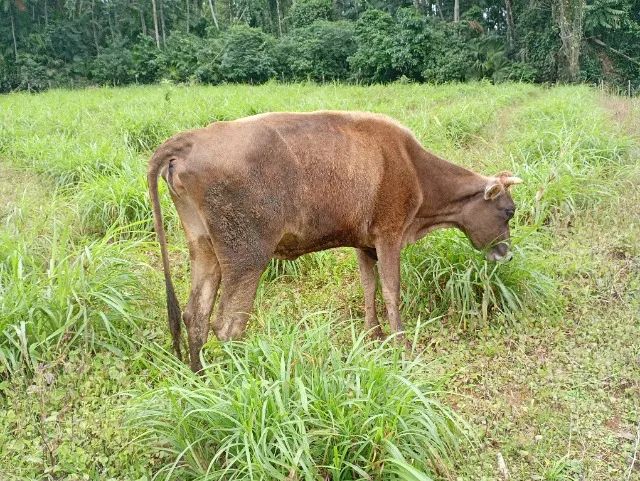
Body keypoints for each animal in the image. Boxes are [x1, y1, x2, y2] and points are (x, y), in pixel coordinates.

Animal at [148, 111, 522, 371]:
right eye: (508, 211)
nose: (506, 254)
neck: (414, 169)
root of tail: (190, 140)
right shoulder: (389, 235)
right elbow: (391, 290)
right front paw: (402, 347)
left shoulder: (364, 242)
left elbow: (369, 286)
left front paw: (372, 335)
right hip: (246, 257)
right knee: (227, 327)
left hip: (204, 249)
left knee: (195, 316)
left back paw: (200, 380)